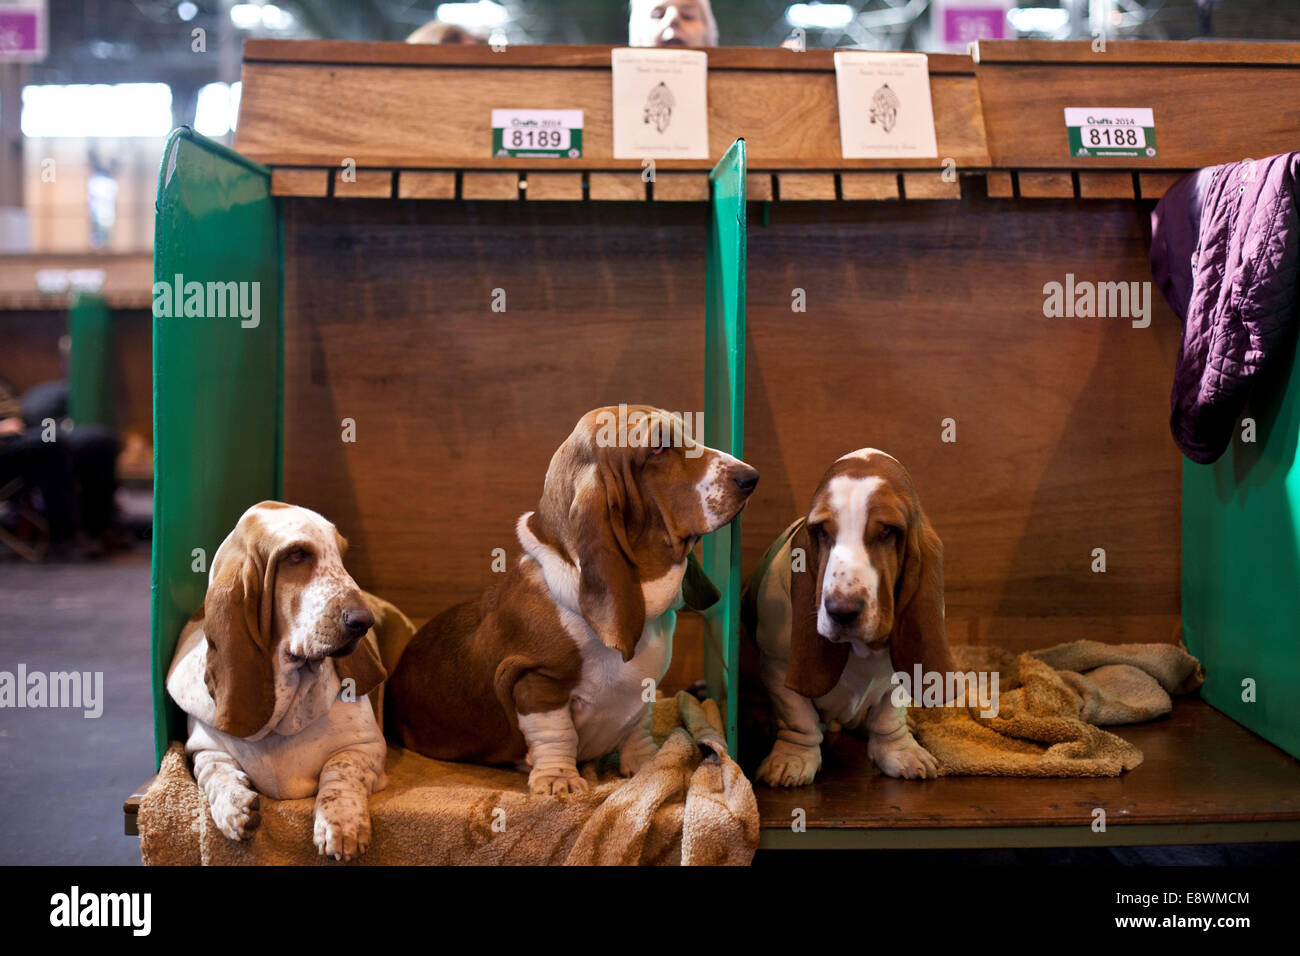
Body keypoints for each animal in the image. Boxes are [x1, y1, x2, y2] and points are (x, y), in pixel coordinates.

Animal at [167, 504, 408, 863]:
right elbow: (214, 771)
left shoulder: (366, 747)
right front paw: (235, 808)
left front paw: (341, 826)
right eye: (296, 555)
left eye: (341, 555)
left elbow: (339, 770)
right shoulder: (202, 747)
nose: (363, 621)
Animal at [382, 403, 759, 790]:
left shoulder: (642, 693)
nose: (751, 477)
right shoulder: (537, 683)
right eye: (657, 448)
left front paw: (648, 765)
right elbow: (557, 734)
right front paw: (558, 780)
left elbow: (637, 729)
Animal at [743, 452, 956, 790]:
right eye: (822, 531)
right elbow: (798, 716)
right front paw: (791, 759)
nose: (841, 610)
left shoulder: (899, 676)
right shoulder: (778, 667)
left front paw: (902, 753)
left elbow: (889, 716)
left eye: (887, 531)